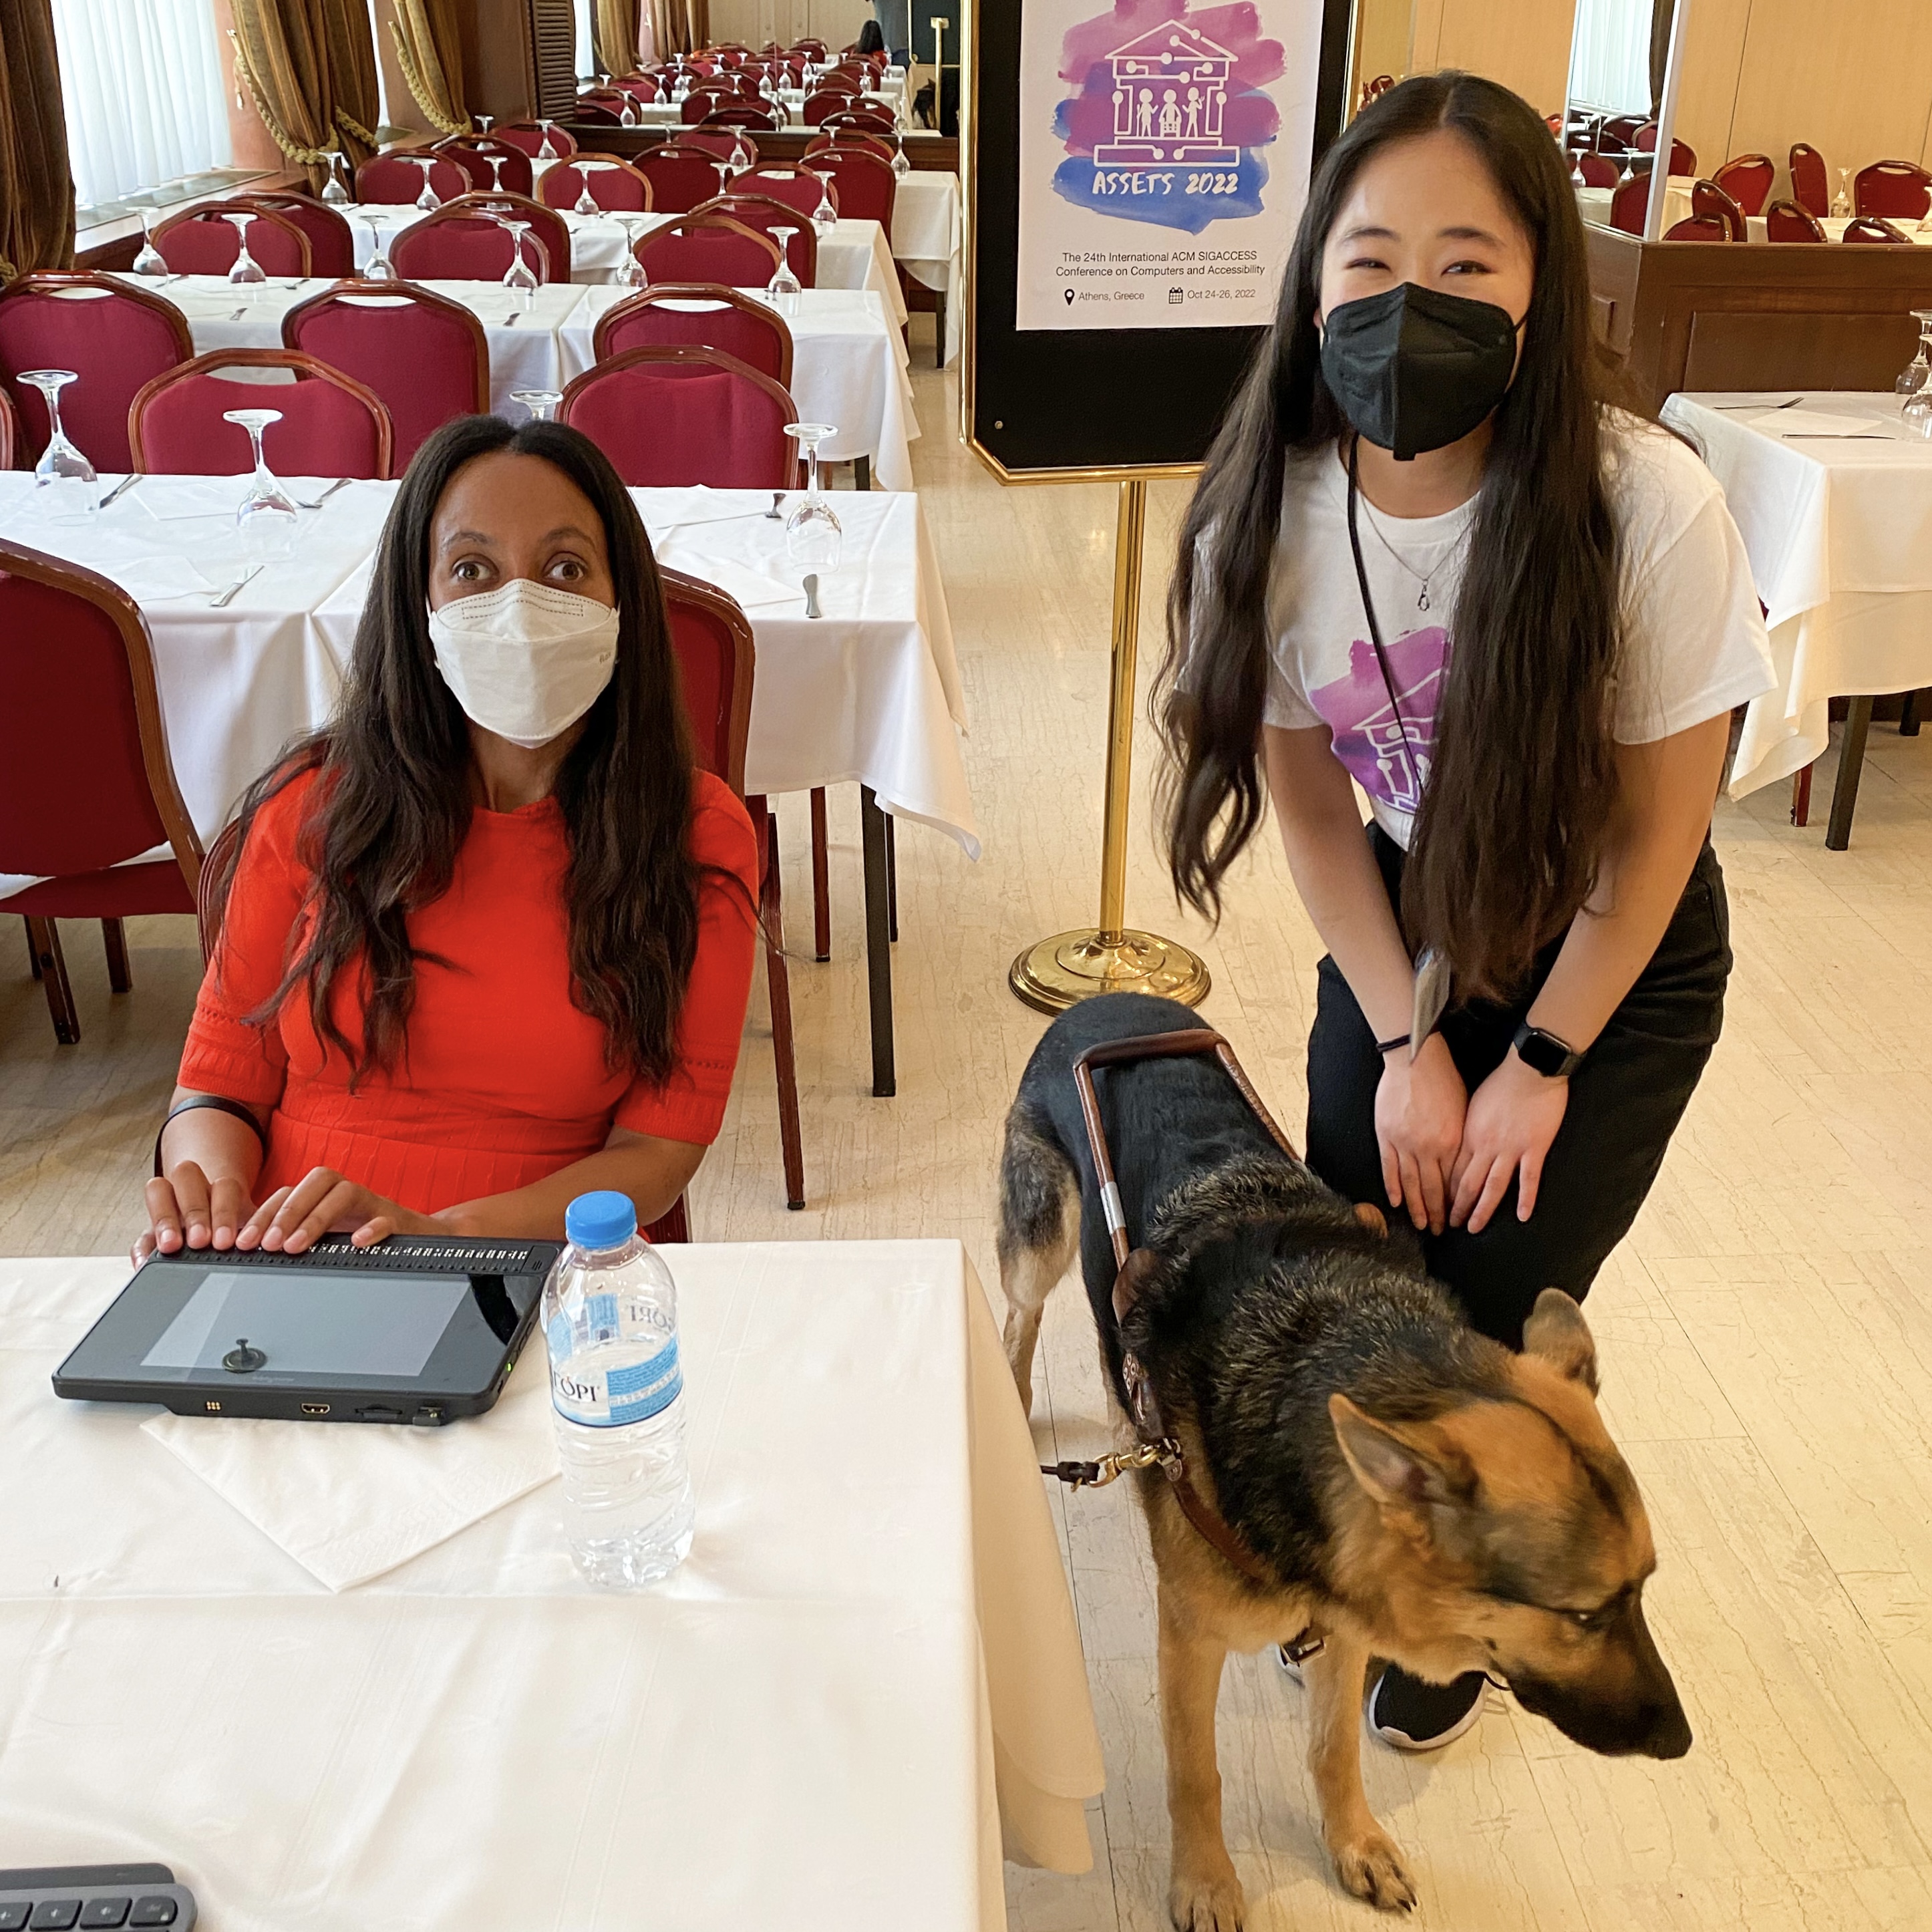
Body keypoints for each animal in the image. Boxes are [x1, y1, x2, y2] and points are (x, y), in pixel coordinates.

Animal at [997, 997, 1692, 1932]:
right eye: (1582, 1616)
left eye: (1642, 1592)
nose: (1681, 1743)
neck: (1326, 1350)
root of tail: (1112, 998)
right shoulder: (1193, 1640)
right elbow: (1197, 1773)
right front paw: (1207, 1882)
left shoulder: (1348, 1626)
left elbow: (1333, 1752)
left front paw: (1355, 1845)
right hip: (1041, 1242)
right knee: (1018, 1320)